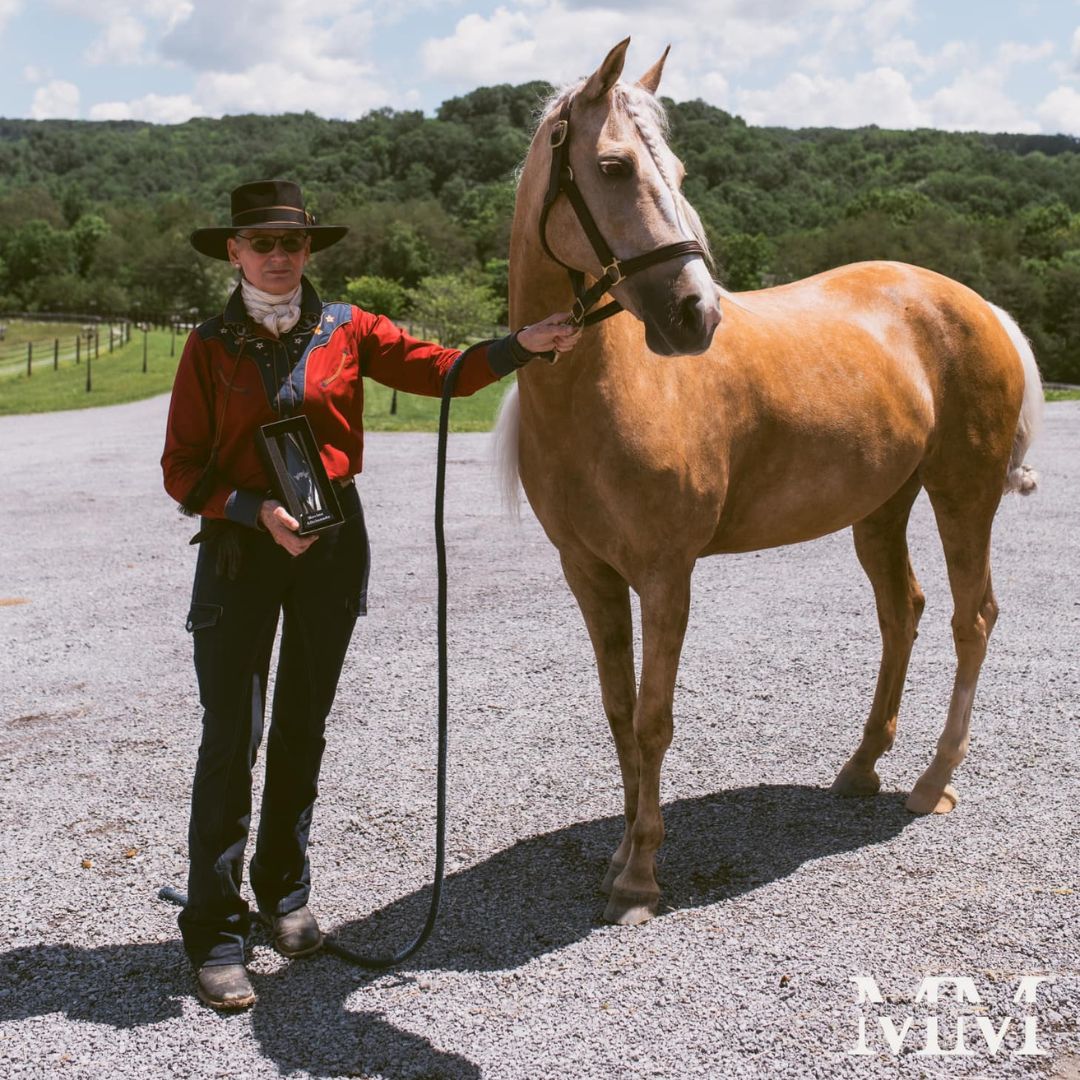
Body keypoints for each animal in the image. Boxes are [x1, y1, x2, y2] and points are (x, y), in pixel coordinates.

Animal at [494, 38, 1041, 924]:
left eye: (677, 171)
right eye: (612, 166)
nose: (695, 315)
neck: (607, 390)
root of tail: (974, 304)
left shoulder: (666, 575)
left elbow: (654, 719)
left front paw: (641, 877)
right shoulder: (588, 574)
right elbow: (618, 712)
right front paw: (618, 856)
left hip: (964, 493)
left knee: (974, 618)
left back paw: (931, 783)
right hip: (881, 510)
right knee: (903, 613)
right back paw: (862, 766)